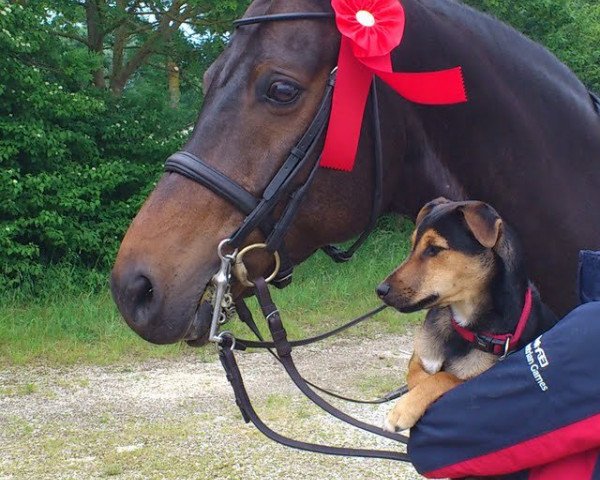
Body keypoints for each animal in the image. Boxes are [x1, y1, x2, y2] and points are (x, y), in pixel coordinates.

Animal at [380, 196, 556, 432]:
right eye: (413, 245)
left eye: (434, 249)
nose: (380, 290)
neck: (463, 324)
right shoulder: (419, 358)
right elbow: (417, 375)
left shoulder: (476, 385)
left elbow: (444, 377)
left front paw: (404, 409)